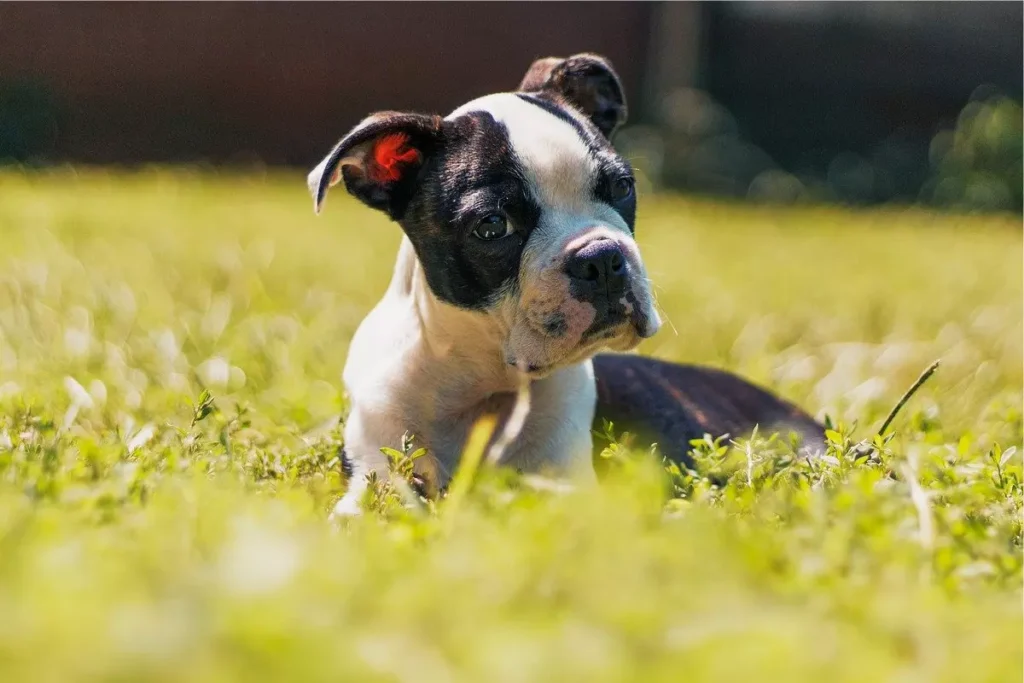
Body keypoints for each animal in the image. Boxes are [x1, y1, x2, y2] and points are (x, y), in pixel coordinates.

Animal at [305, 53, 823, 516]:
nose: (602, 258)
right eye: (492, 226)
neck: (482, 384)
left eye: (622, 187)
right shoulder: (376, 469)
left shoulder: (562, 483)